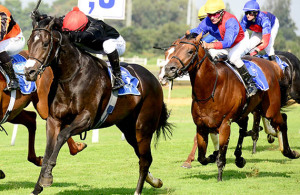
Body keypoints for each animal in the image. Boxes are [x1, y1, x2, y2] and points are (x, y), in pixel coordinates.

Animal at [24, 17, 172, 194]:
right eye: (29, 42)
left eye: (45, 43)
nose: (29, 72)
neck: (71, 77)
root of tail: (154, 78)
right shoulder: (54, 119)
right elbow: (48, 150)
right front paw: (38, 186)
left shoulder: (86, 118)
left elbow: (62, 136)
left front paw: (47, 176)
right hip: (128, 129)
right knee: (143, 156)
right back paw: (155, 181)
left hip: (143, 127)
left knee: (145, 160)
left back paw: (138, 190)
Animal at [161, 32, 298, 181]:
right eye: (171, 51)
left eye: (190, 51)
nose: (168, 70)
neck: (210, 88)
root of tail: (273, 66)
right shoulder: (201, 125)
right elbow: (202, 157)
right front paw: (211, 156)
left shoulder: (225, 123)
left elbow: (221, 154)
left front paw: (219, 176)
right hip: (248, 111)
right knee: (248, 126)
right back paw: (240, 158)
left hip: (270, 109)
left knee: (282, 121)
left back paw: (290, 152)